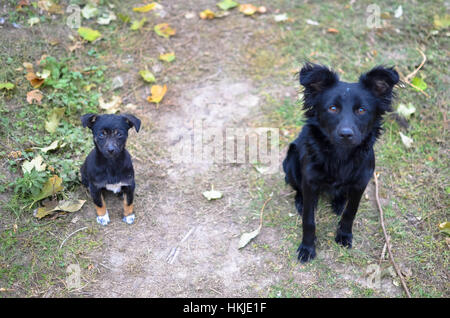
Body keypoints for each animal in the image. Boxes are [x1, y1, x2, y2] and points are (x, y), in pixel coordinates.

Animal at [284, 62, 400, 264]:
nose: (346, 134)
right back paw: (301, 201)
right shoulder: (310, 182)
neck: (341, 156)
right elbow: (308, 220)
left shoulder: (361, 183)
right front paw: (307, 247)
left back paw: (338, 202)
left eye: (361, 110)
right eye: (332, 108)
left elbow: (350, 213)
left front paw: (344, 235)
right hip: (290, 162)